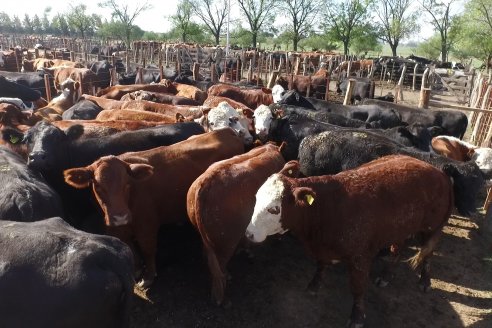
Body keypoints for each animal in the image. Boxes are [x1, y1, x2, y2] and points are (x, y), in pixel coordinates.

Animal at [63, 128, 244, 288]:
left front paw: (148, 277)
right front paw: (136, 270)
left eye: (127, 184)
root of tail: (225, 131)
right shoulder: (118, 230)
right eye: (98, 187)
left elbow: (147, 250)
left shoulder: (147, 226)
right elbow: (131, 249)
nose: (120, 217)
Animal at [246, 156, 454, 328]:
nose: (249, 234)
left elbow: (358, 287)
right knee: (397, 250)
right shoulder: (322, 249)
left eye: (274, 209)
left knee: (428, 254)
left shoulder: (359, 257)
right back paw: (386, 276)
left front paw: (357, 317)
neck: (328, 208)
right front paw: (314, 285)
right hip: (400, 228)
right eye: (256, 198)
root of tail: (438, 172)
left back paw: (425, 280)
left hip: (431, 228)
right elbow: (320, 266)